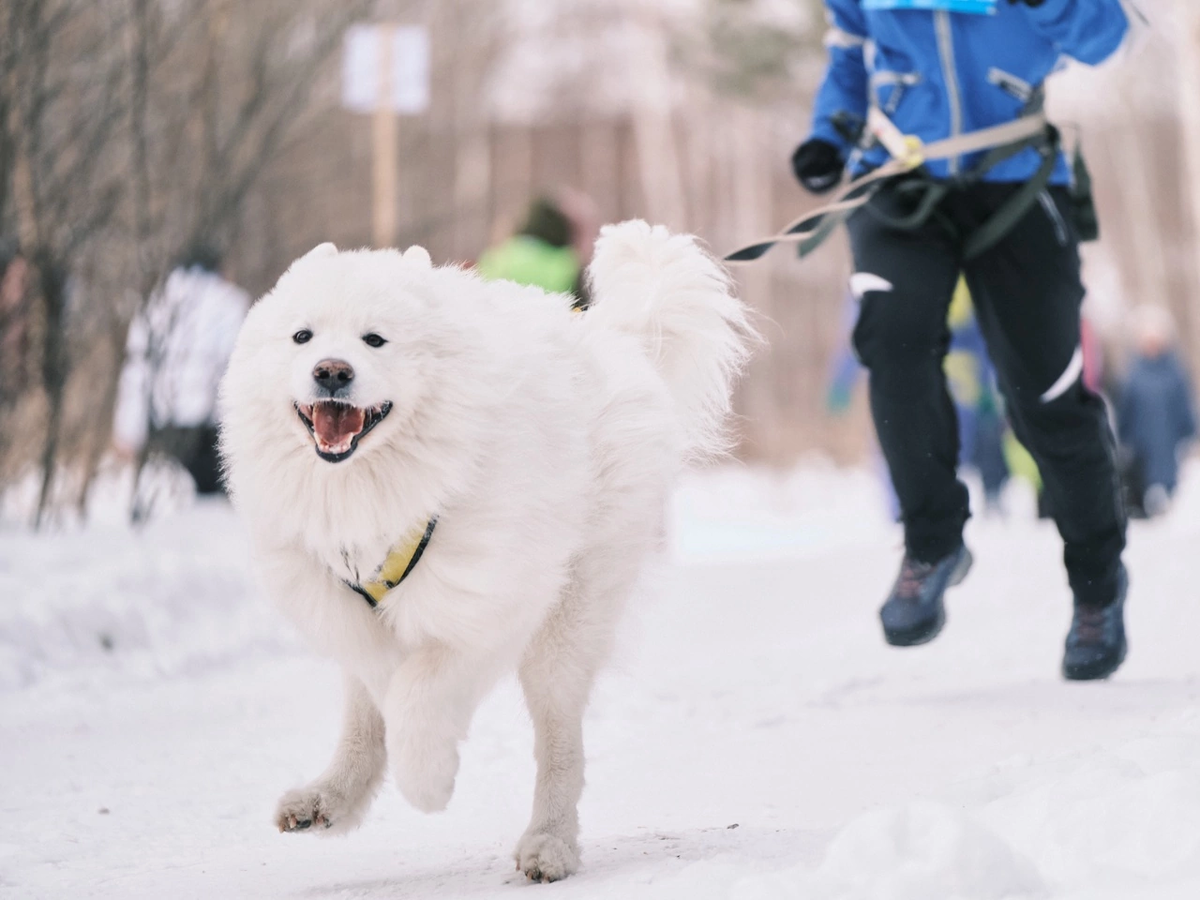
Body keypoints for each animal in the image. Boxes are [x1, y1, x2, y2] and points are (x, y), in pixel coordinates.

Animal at [218, 222, 748, 883]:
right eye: (302, 336)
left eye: (375, 339)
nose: (332, 371)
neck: (368, 490)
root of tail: (614, 338)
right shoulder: (342, 605)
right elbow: (378, 688)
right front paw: (362, 781)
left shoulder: (489, 604)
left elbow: (418, 692)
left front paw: (429, 782)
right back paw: (326, 798)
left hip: (568, 622)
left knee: (560, 744)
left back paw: (549, 845)